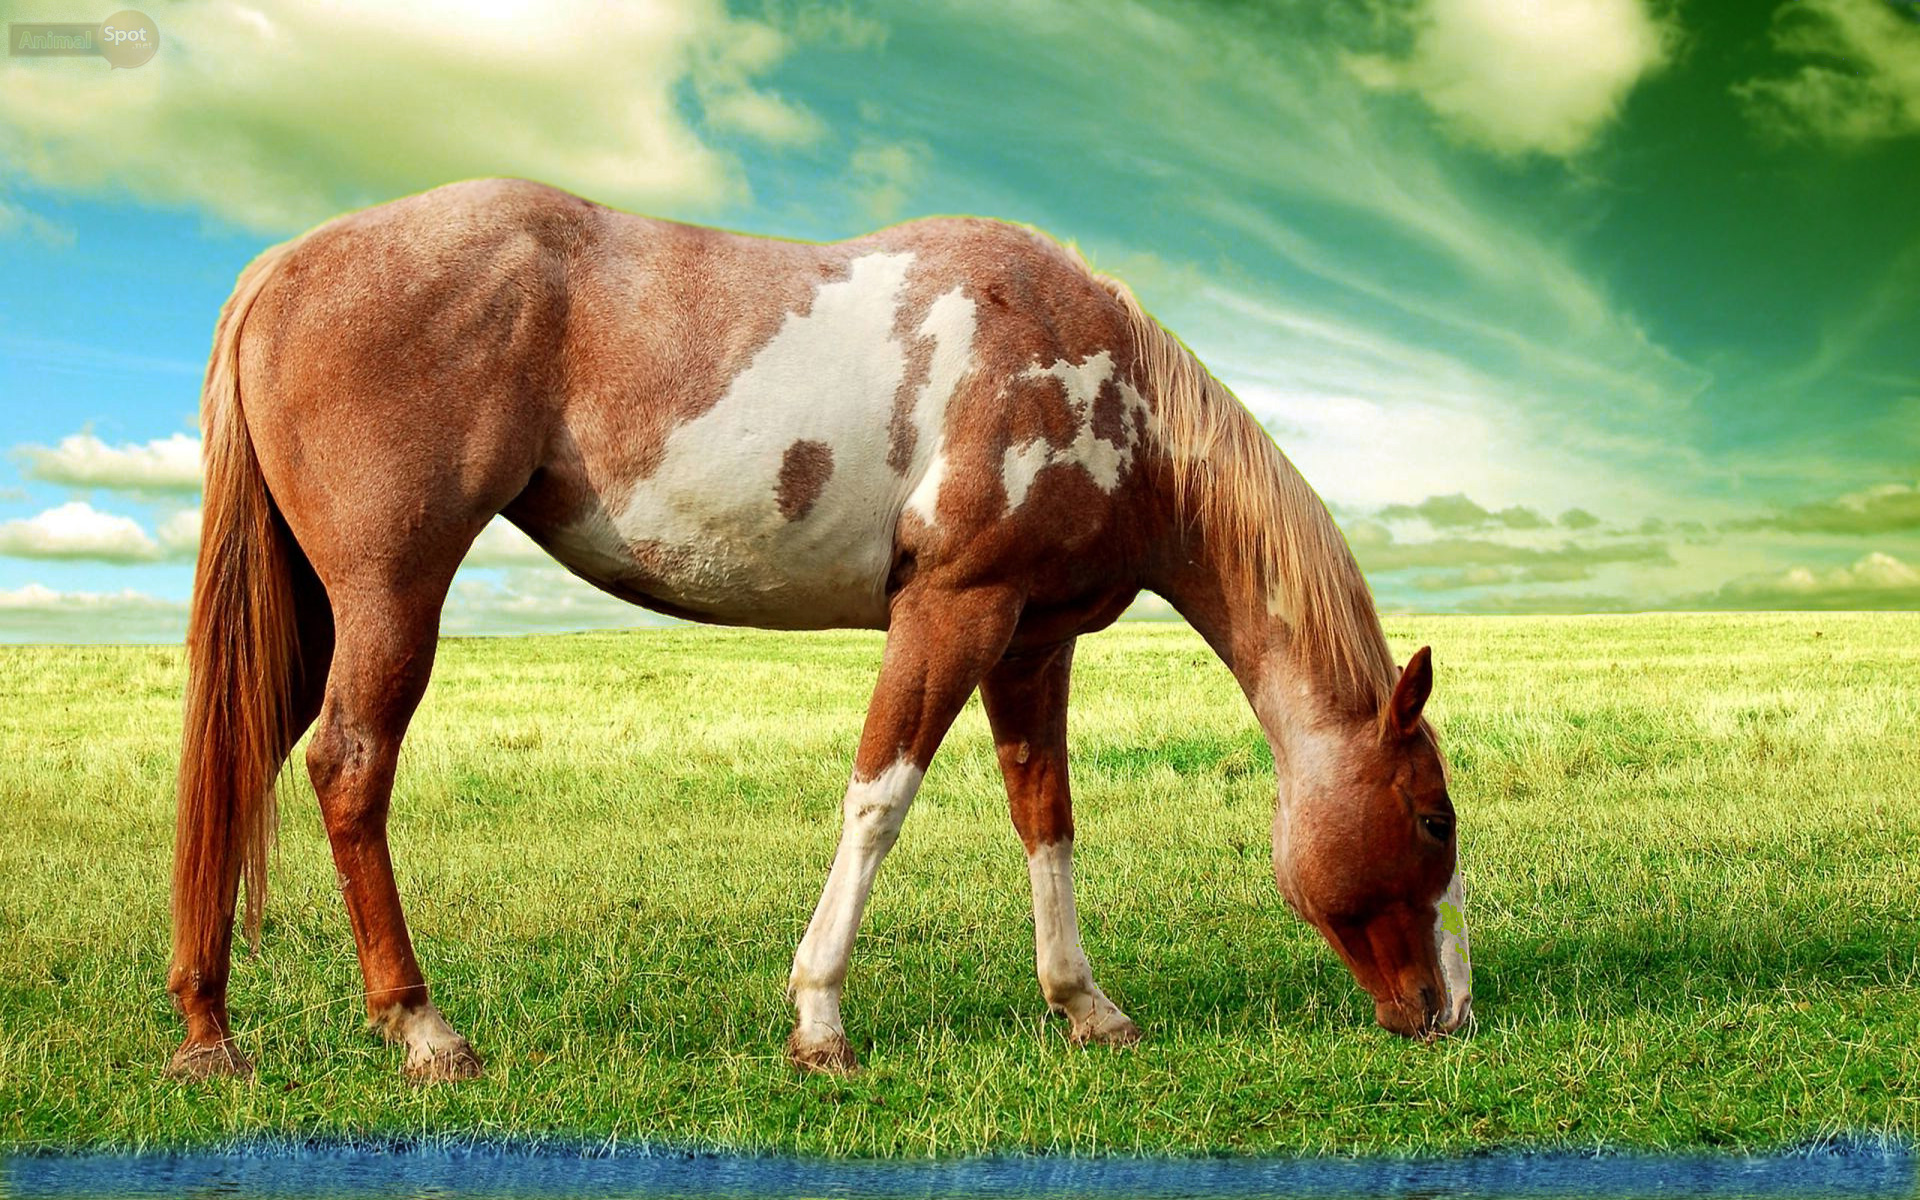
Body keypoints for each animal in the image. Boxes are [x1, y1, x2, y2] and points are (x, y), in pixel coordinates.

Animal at [167, 178, 1470, 1081]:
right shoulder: (953, 612)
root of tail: (288, 263)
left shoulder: (1032, 640)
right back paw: (423, 1028)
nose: (1451, 1013)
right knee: (348, 769)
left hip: (310, 614)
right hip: (390, 594)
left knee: (239, 765)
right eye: (1432, 818)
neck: (1108, 390)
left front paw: (1084, 1006)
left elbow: (1045, 819)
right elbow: (879, 800)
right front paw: (820, 1017)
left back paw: (209, 1031)